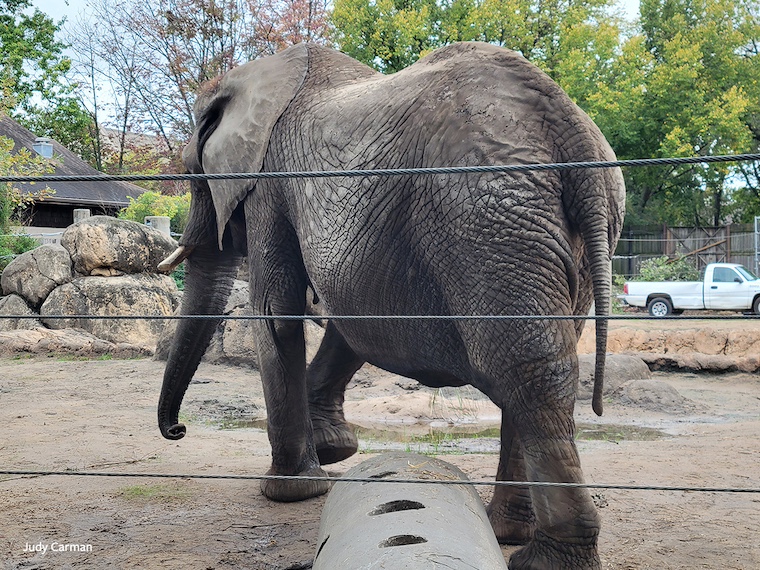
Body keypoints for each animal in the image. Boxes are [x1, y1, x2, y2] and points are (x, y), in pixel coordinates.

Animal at [157, 42, 625, 570]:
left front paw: (292, 490)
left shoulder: (270, 182)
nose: (177, 430)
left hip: (484, 215)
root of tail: (567, 126)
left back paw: (540, 559)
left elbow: (277, 310)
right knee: (538, 359)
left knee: (524, 368)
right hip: (555, 226)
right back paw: (509, 531)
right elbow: (349, 318)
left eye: (193, 177)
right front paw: (334, 451)